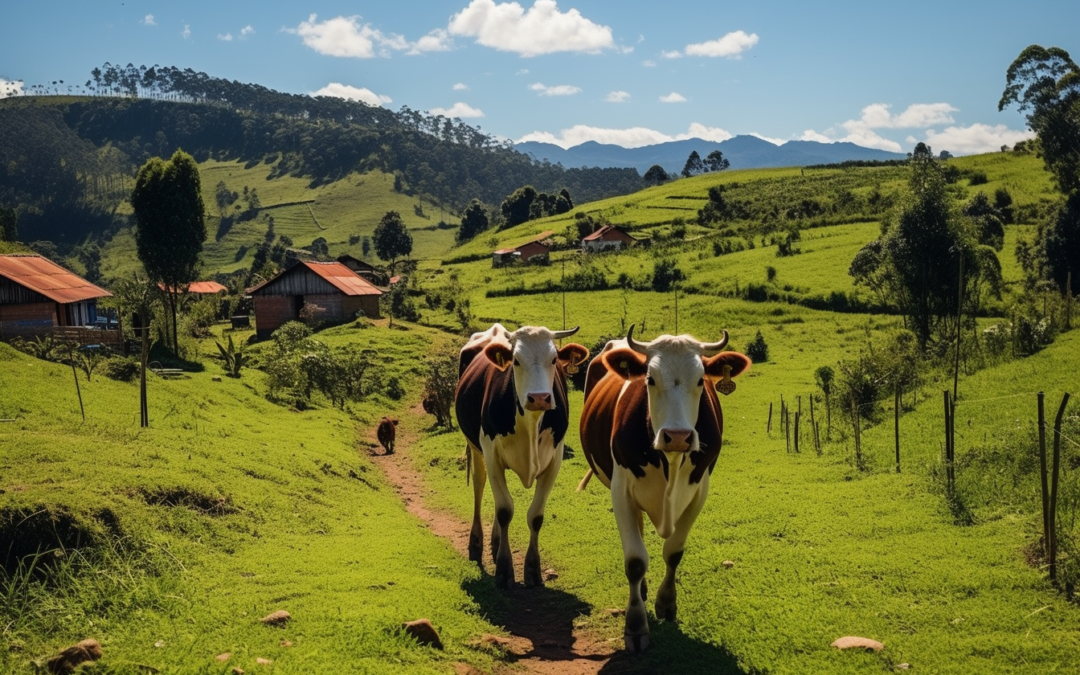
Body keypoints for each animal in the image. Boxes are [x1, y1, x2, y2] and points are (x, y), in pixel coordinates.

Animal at [455, 324, 591, 587]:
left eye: (554, 359)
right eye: (516, 361)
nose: (539, 398)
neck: (530, 423)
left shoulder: (554, 461)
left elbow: (535, 516)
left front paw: (532, 570)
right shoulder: (491, 453)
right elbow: (504, 510)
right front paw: (504, 570)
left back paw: (496, 543)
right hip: (475, 447)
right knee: (479, 484)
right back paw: (476, 544)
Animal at [583, 324, 751, 652]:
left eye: (701, 380)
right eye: (650, 379)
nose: (678, 436)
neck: (669, 462)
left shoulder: (699, 491)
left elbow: (674, 552)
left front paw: (667, 604)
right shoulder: (620, 490)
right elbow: (635, 560)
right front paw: (635, 626)